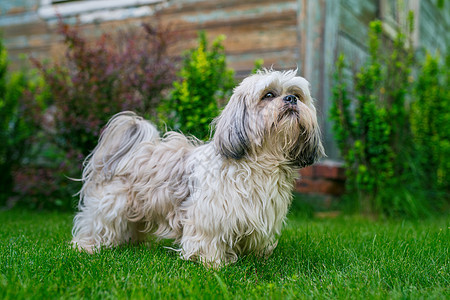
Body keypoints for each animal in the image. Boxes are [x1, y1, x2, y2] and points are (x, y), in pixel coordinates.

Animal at [71, 70, 324, 268]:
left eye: (297, 95)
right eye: (268, 95)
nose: (291, 99)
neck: (260, 162)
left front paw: (256, 257)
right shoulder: (210, 214)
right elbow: (208, 239)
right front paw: (213, 263)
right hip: (112, 205)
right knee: (96, 225)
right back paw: (87, 247)